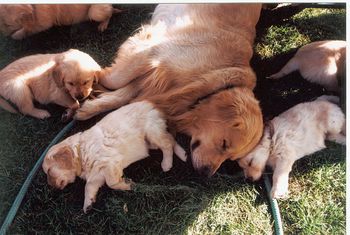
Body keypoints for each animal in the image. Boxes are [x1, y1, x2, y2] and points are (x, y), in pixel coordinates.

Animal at [42, 101, 187, 213]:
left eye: (49, 171)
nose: (51, 187)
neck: (81, 151)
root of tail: (153, 105)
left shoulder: (109, 163)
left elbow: (111, 183)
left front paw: (126, 184)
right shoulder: (96, 174)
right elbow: (89, 186)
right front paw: (88, 204)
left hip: (152, 131)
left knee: (167, 144)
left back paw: (167, 163)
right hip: (152, 140)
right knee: (170, 139)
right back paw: (183, 154)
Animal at [75, 3, 264, 176]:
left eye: (230, 158)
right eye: (224, 144)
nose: (205, 174)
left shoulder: (158, 82)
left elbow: (124, 95)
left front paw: (90, 106)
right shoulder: (153, 52)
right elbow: (114, 79)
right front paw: (92, 78)